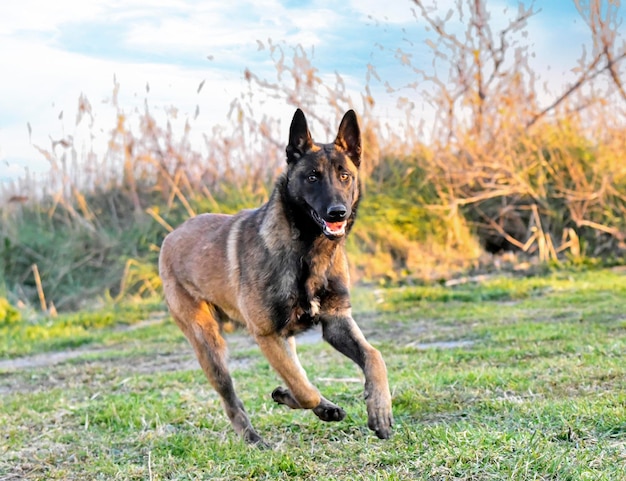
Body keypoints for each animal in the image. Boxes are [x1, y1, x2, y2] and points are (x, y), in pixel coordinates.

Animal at [156, 109, 390, 446]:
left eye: (345, 176)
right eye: (312, 177)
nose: (338, 213)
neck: (308, 251)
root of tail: (171, 235)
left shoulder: (336, 322)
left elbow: (374, 356)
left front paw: (379, 408)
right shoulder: (267, 335)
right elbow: (303, 390)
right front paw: (307, 401)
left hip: (278, 339)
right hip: (210, 346)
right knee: (232, 399)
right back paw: (253, 437)